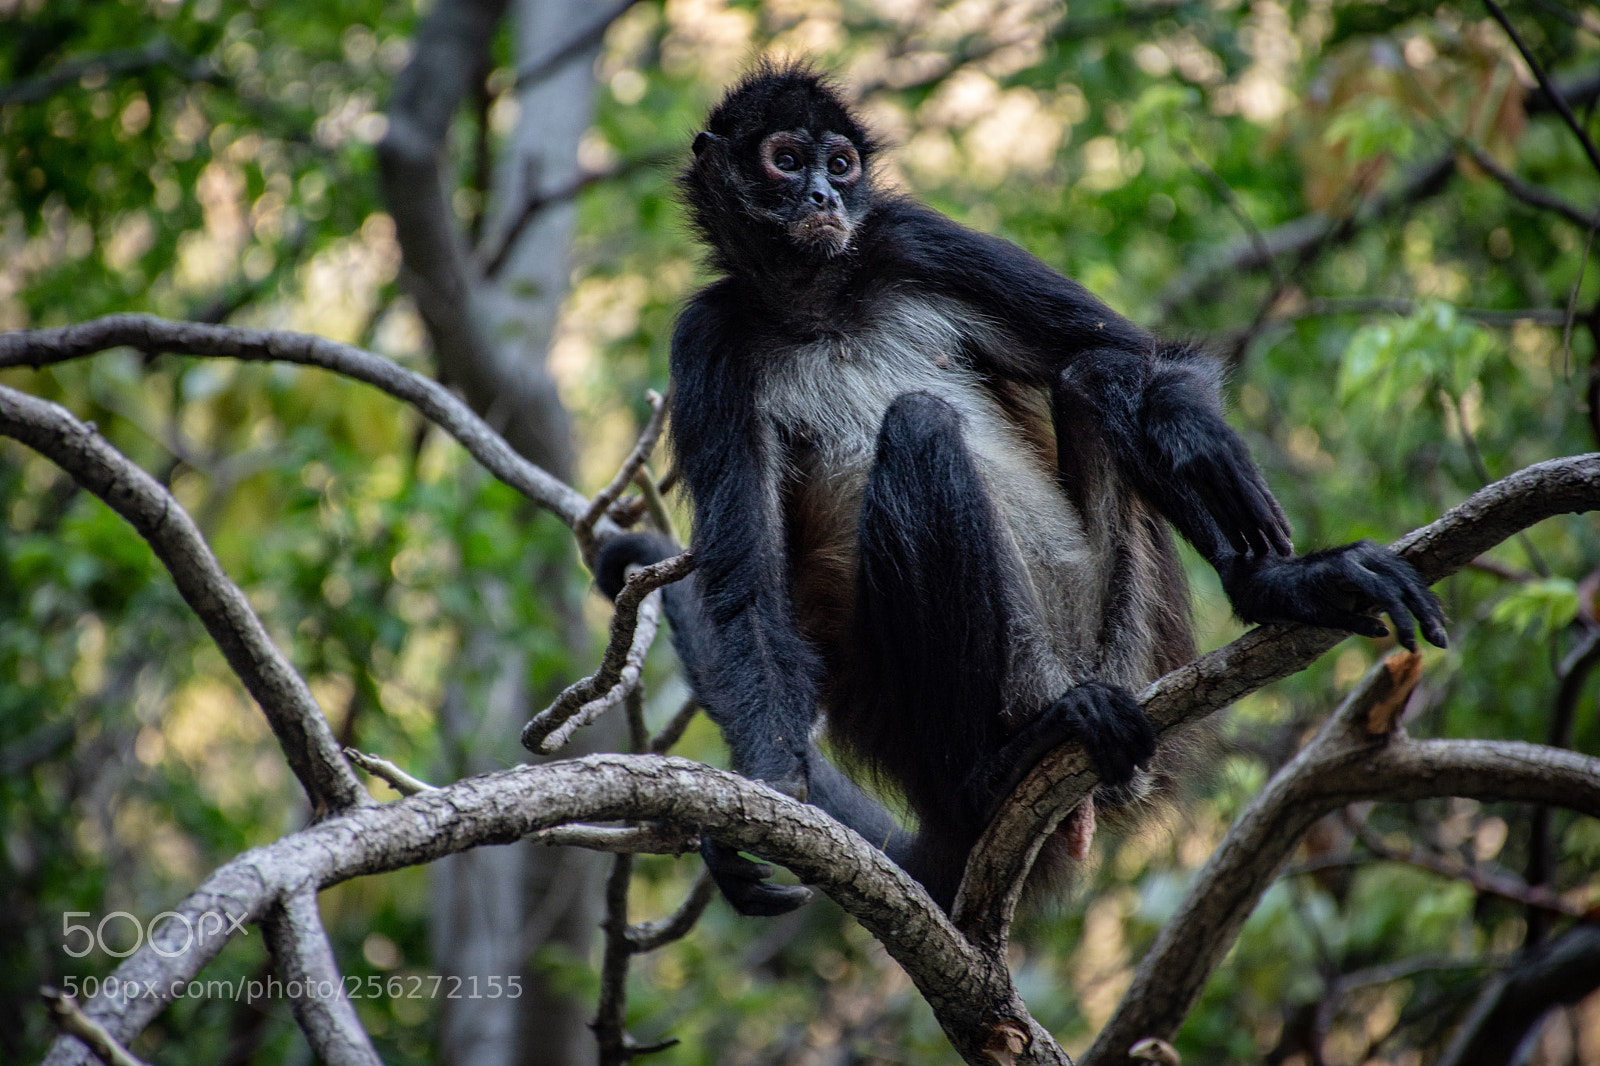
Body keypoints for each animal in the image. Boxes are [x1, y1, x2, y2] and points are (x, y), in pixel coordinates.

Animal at [597, 61, 1446, 915]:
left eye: (839, 163)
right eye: (784, 160)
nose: (822, 200)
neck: (819, 305)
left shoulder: (910, 237)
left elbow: (1148, 359)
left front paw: (1202, 445)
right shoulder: (708, 337)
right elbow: (753, 592)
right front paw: (770, 789)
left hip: (1123, 646)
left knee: (1090, 374)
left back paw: (1268, 587)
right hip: (972, 689)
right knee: (924, 429)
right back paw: (990, 776)